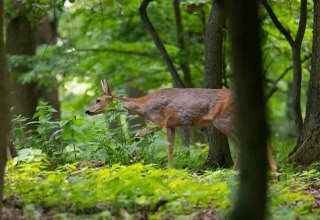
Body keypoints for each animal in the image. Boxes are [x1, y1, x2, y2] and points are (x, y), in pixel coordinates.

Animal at [85, 80, 278, 174]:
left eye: (98, 100)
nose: (87, 111)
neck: (143, 105)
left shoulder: (159, 121)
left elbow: (137, 135)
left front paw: (134, 158)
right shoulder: (172, 125)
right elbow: (170, 149)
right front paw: (170, 169)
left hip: (223, 119)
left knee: (244, 142)